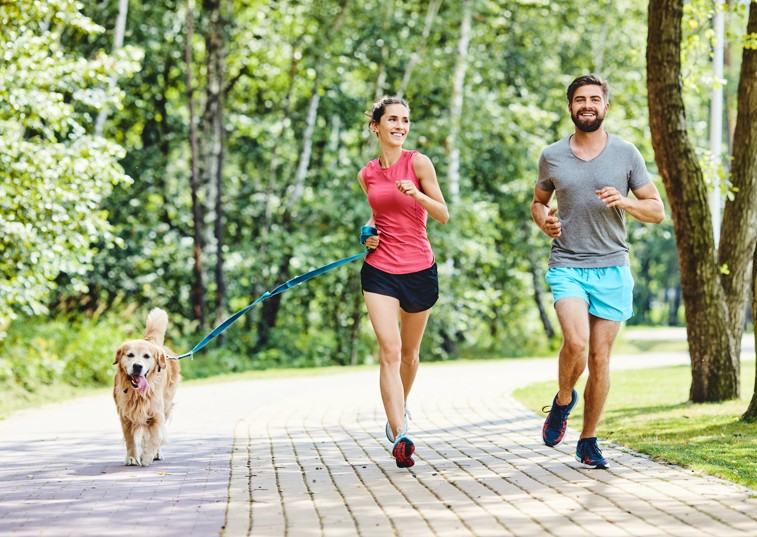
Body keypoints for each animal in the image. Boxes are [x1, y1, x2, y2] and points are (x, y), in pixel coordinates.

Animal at [112, 308, 180, 466]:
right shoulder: (126, 415)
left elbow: (156, 437)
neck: (137, 393)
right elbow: (130, 440)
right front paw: (132, 457)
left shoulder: (157, 414)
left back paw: (155, 453)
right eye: (130, 355)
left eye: (147, 356)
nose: (137, 366)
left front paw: (148, 456)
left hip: (167, 406)